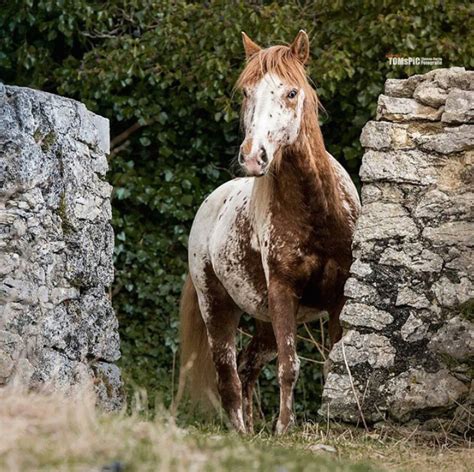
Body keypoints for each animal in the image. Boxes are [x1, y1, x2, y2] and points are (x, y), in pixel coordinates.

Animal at [180, 30, 362, 436]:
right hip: (218, 308)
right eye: (247, 92)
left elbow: (334, 362)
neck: (316, 213)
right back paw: (242, 431)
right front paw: (283, 429)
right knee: (229, 376)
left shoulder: (338, 298)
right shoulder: (282, 291)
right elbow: (289, 366)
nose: (253, 157)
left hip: (263, 322)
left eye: (292, 92)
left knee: (247, 369)